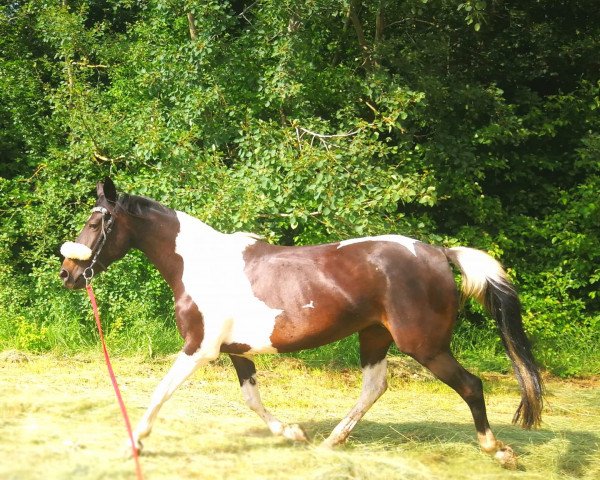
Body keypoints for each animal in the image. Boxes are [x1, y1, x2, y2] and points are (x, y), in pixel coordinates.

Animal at [59, 178, 544, 466]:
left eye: (96, 222)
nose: (68, 274)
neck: (200, 266)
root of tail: (439, 252)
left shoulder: (199, 348)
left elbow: (160, 392)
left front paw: (133, 443)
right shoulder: (235, 352)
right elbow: (252, 399)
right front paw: (292, 433)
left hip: (424, 346)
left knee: (470, 385)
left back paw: (498, 451)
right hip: (374, 336)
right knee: (375, 387)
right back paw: (332, 441)